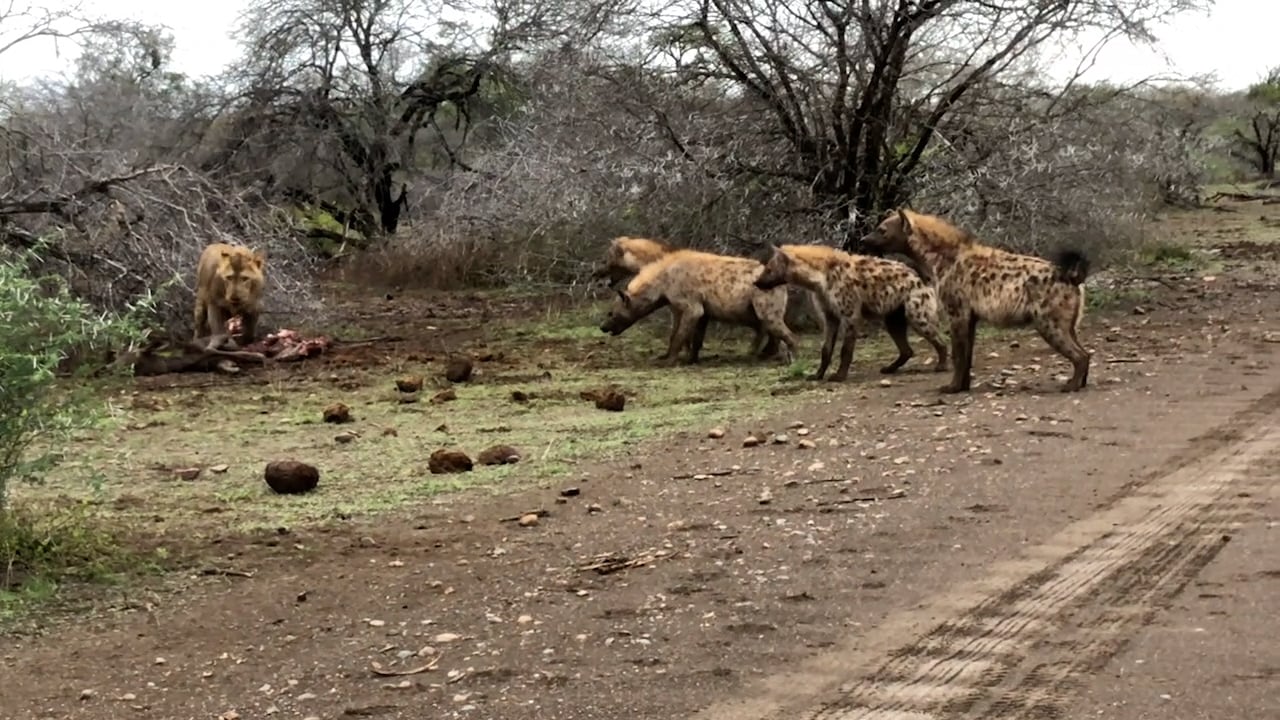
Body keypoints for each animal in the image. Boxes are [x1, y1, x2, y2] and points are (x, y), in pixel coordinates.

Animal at [599, 248, 799, 364]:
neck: (663, 280)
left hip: (764, 304)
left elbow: (679, 334)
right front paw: (689, 358)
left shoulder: (691, 305)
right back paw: (765, 354)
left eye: (610, 313)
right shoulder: (701, 310)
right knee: (768, 329)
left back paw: (787, 357)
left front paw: (670, 360)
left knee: (778, 328)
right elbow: (692, 335)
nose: (602, 327)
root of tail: (783, 283)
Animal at [754, 243, 948, 382]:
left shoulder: (850, 314)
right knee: (906, 348)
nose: (756, 282)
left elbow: (846, 349)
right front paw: (817, 375)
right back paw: (889, 369)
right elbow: (826, 349)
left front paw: (839, 376)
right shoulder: (829, 315)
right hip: (893, 316)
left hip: (916, 311)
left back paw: (942, 365)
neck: (820, 279)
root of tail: (919, 277)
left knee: (938, 338)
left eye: (768, 269)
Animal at [860, 209, 1091, 393]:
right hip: (1067, 323)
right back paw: (1079, 383)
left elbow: (958, 354)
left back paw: (1070, 386)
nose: (862, 239)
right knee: (1086, 352)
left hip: (1049, 323)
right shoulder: (970, 317)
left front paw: (950, 388)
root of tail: (1071, 276)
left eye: (881, 230)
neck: (940, 260)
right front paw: (962, 386)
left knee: (1079, 355)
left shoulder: (957, 312)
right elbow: (967, 355)